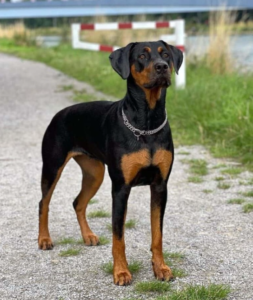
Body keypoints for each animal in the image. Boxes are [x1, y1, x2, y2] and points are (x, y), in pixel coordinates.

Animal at [38, 40, 182, 286]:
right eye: (142, 55)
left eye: (165, 55)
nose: (162, 67)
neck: (146, 122)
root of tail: (59, 114)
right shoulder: (121, 188)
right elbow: (118, 236)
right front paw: (121, 272)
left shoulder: (160, 185)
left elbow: (157, 234)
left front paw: (161, 268)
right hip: (52, 166)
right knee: (43, 203)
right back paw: (44, 239)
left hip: (94, 173)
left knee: (78, 203)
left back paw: (88, 236)